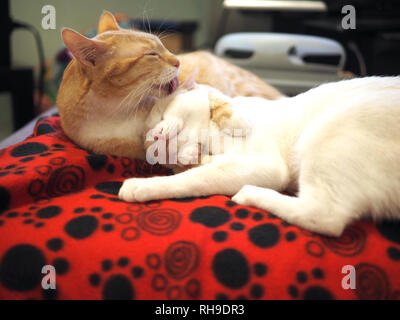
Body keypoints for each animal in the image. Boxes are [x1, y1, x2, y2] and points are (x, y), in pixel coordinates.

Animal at [57, 12, 282, 159]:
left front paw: (236, 121)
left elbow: (219, 101)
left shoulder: (197, 88)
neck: (116, 112)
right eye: (152, 55)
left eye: (163, 46)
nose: (178, 61)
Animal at [119, 77, 400, 238]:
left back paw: (249, 194)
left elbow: (192, 179)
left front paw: (141, 185)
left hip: (331, 129)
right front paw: (190, 158)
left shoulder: (264, 165)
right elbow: (193, 169)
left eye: (160, 113)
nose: (154, 136)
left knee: (324, 216)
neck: (207, 141)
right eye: (148, 139)